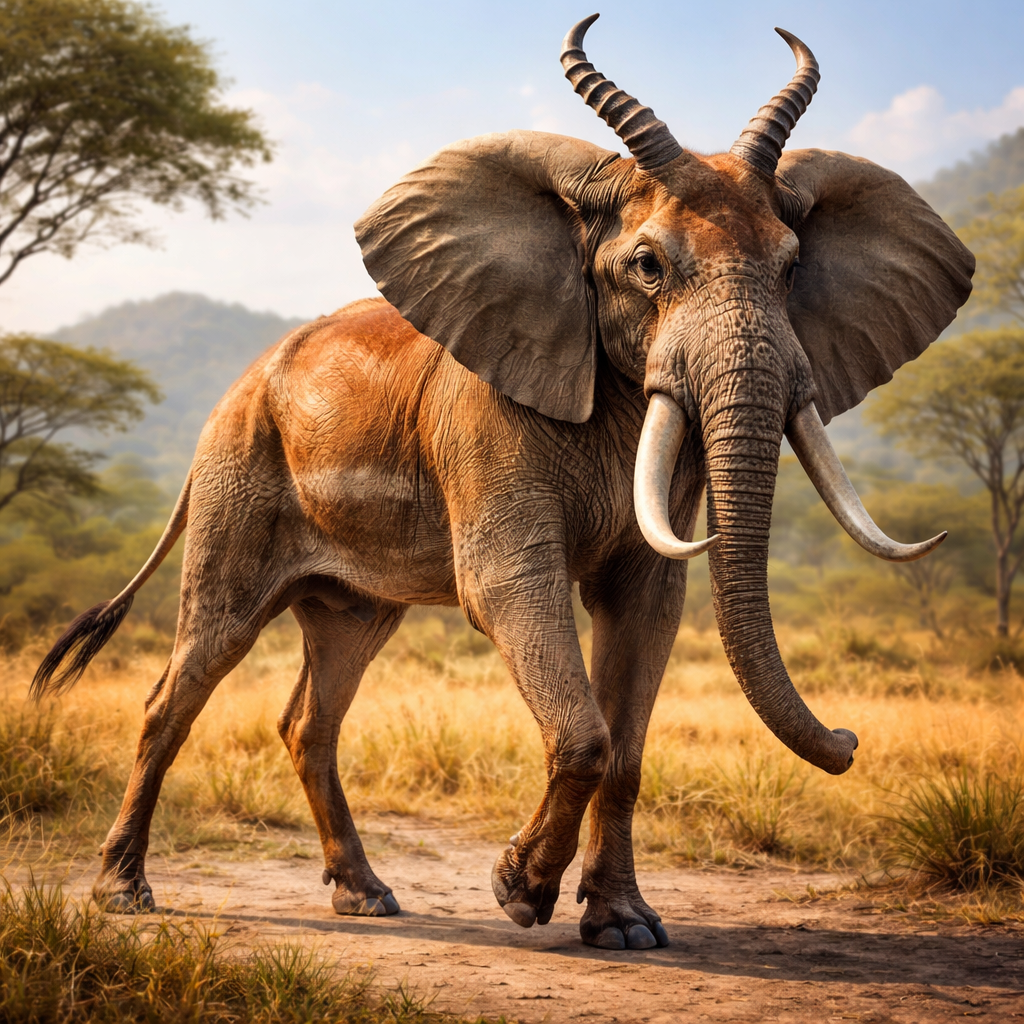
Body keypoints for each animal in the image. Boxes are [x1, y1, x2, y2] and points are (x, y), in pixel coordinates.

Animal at [34, 16, 973, 951]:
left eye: (789, 270)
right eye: (648, 268)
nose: (850, 740)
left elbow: (643, 636)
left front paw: (624, 928)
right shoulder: (485, 427)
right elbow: (519, 606)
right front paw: (519, 894)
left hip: (330, 563)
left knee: (321, 692)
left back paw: (366, 896)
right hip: (238, 479)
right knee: (190, 673)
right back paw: (124, 893)